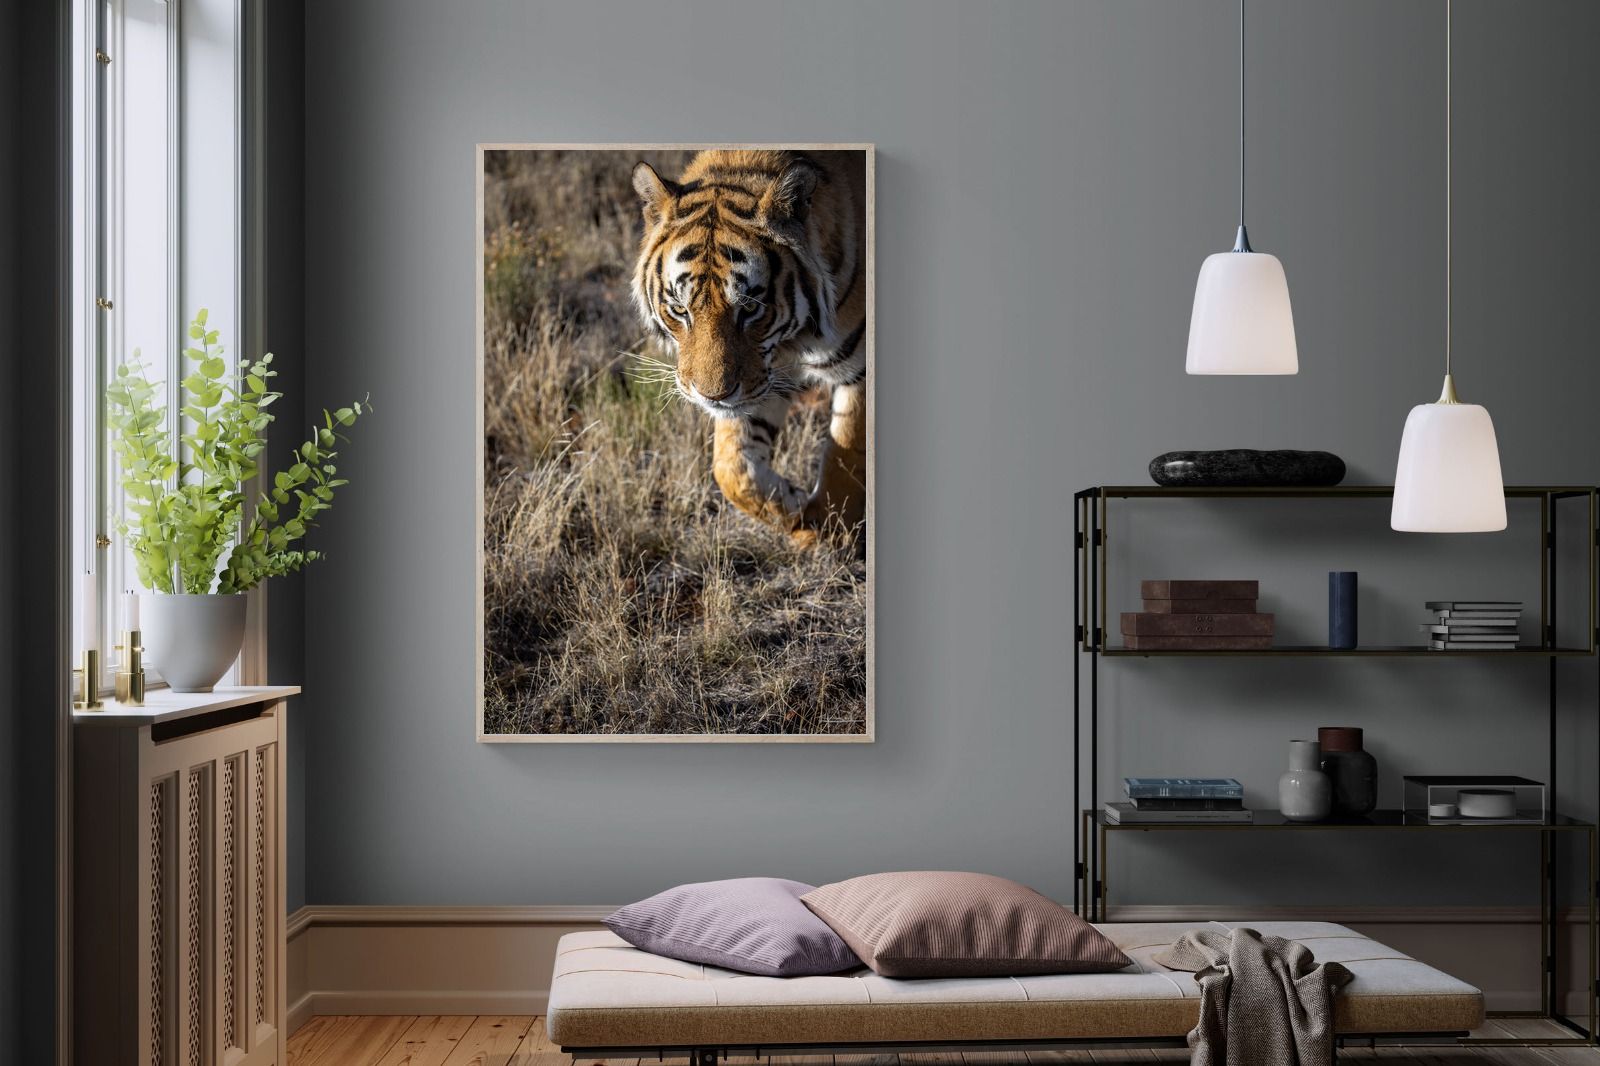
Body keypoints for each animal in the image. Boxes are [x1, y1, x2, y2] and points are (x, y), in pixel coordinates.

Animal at [630, 149, 867, 548]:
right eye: (680, 309)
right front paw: (794, 507)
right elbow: (732, 468)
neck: (794, 341)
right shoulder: (765, 377)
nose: (712, 396)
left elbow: (846, 453)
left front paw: (829, 530)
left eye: (750, 308)